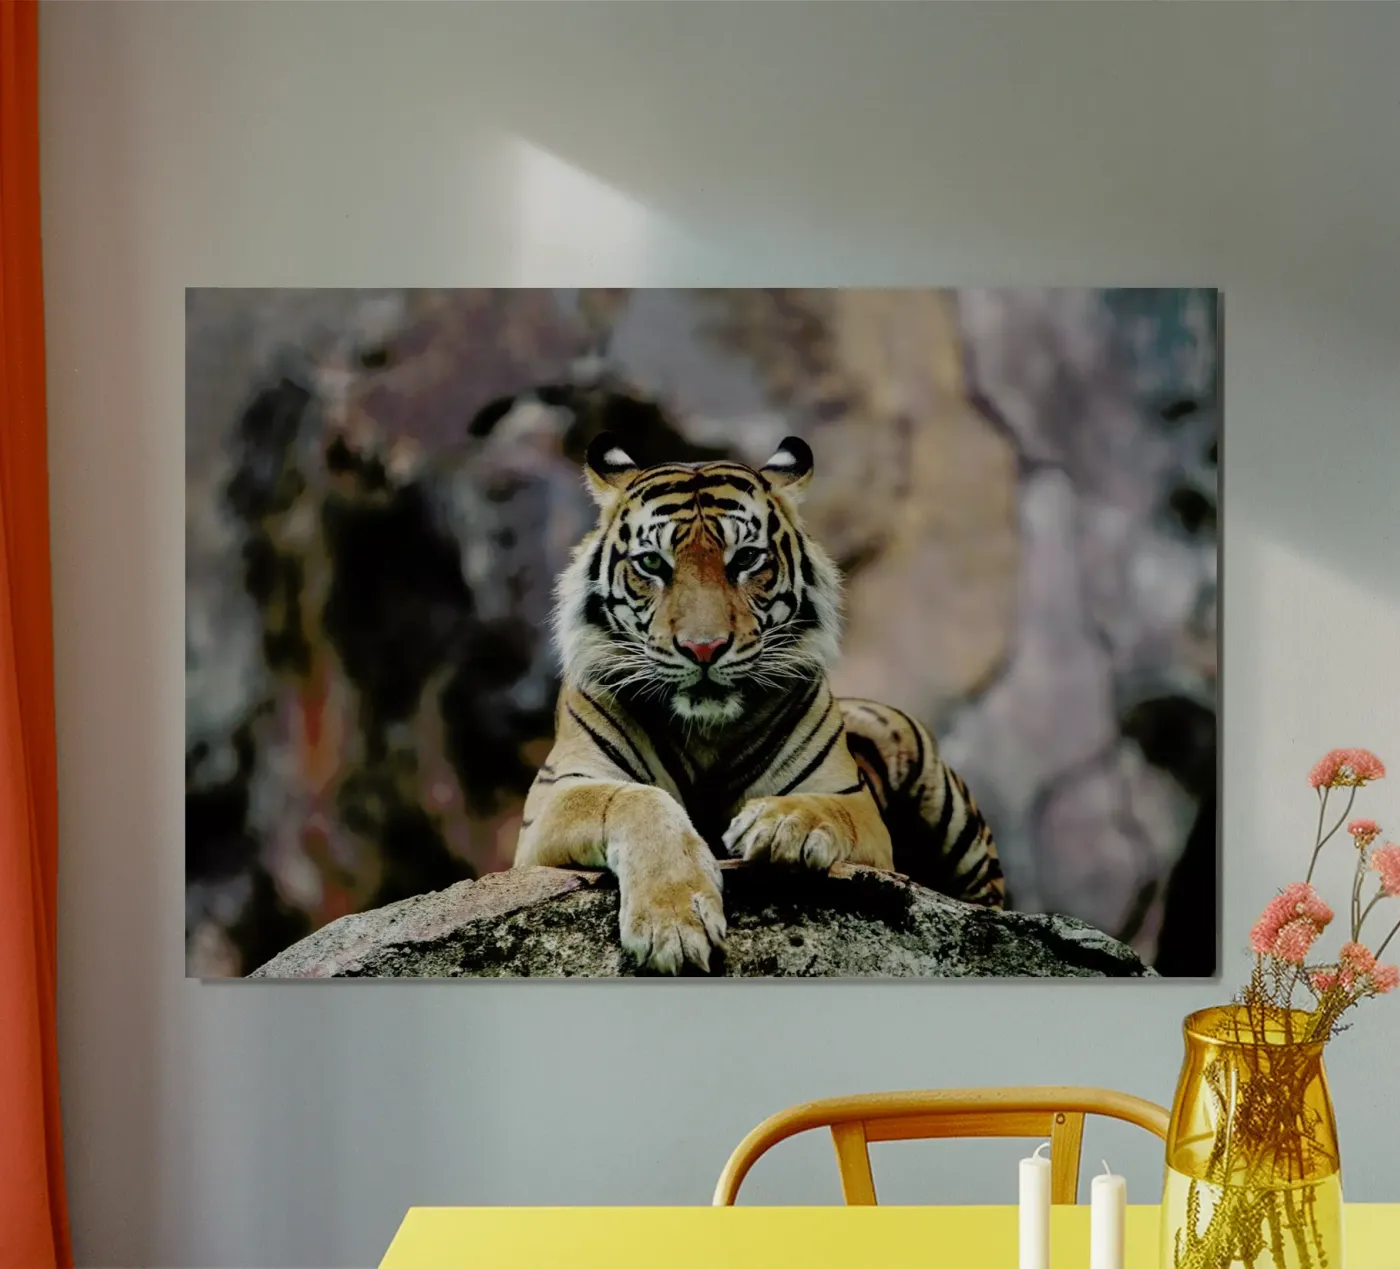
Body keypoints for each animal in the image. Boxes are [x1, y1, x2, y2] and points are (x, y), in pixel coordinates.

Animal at [513, 431, 1005, 974]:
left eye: (746, 559)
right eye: (652, 564)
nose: (704, 648)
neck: (705, 731)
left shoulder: (851, 800)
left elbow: (823, 808)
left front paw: (780, 824)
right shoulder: (556, 796)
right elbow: (634, 800)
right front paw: (673, 924)